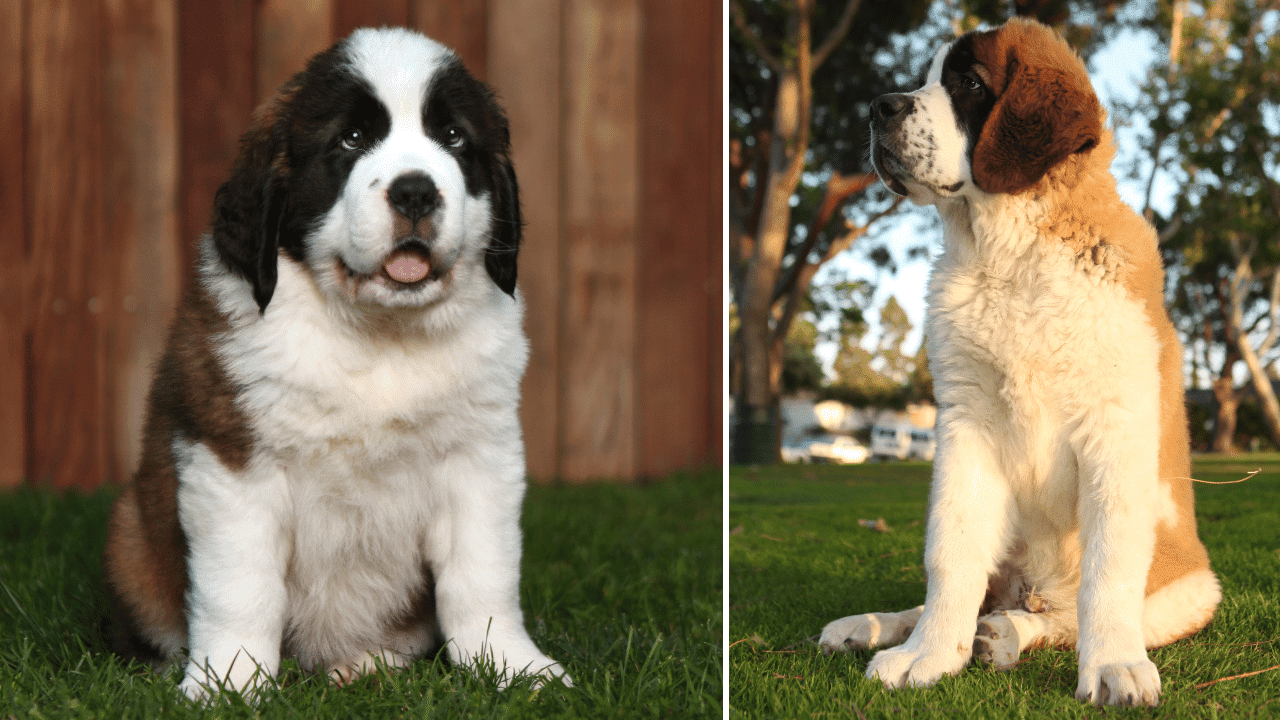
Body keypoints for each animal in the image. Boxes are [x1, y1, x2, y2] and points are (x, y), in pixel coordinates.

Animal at [103, 26, 570, 696]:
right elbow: (239, 586)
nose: (415, 190)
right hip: (130, 535)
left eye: (454, 138)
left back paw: (364, 662)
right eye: (350, 140)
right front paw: (229, 684)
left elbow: (484, 573)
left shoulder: (480, 457)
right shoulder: (233, 464)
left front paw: (511, 664)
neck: (377, 332)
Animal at [819, 18, 1218, 707]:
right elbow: (950, 553)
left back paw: (1007, 634)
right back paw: (878, 627)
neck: (1010, 254)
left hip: (1192, 590)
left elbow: (1108, 573)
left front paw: (1112, 665)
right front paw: (928, 654)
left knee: (1063, 615)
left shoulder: (1115, 429)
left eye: (971, 84)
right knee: (980, 591)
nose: (878, 108)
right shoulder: (967, 424)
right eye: (926, 79)